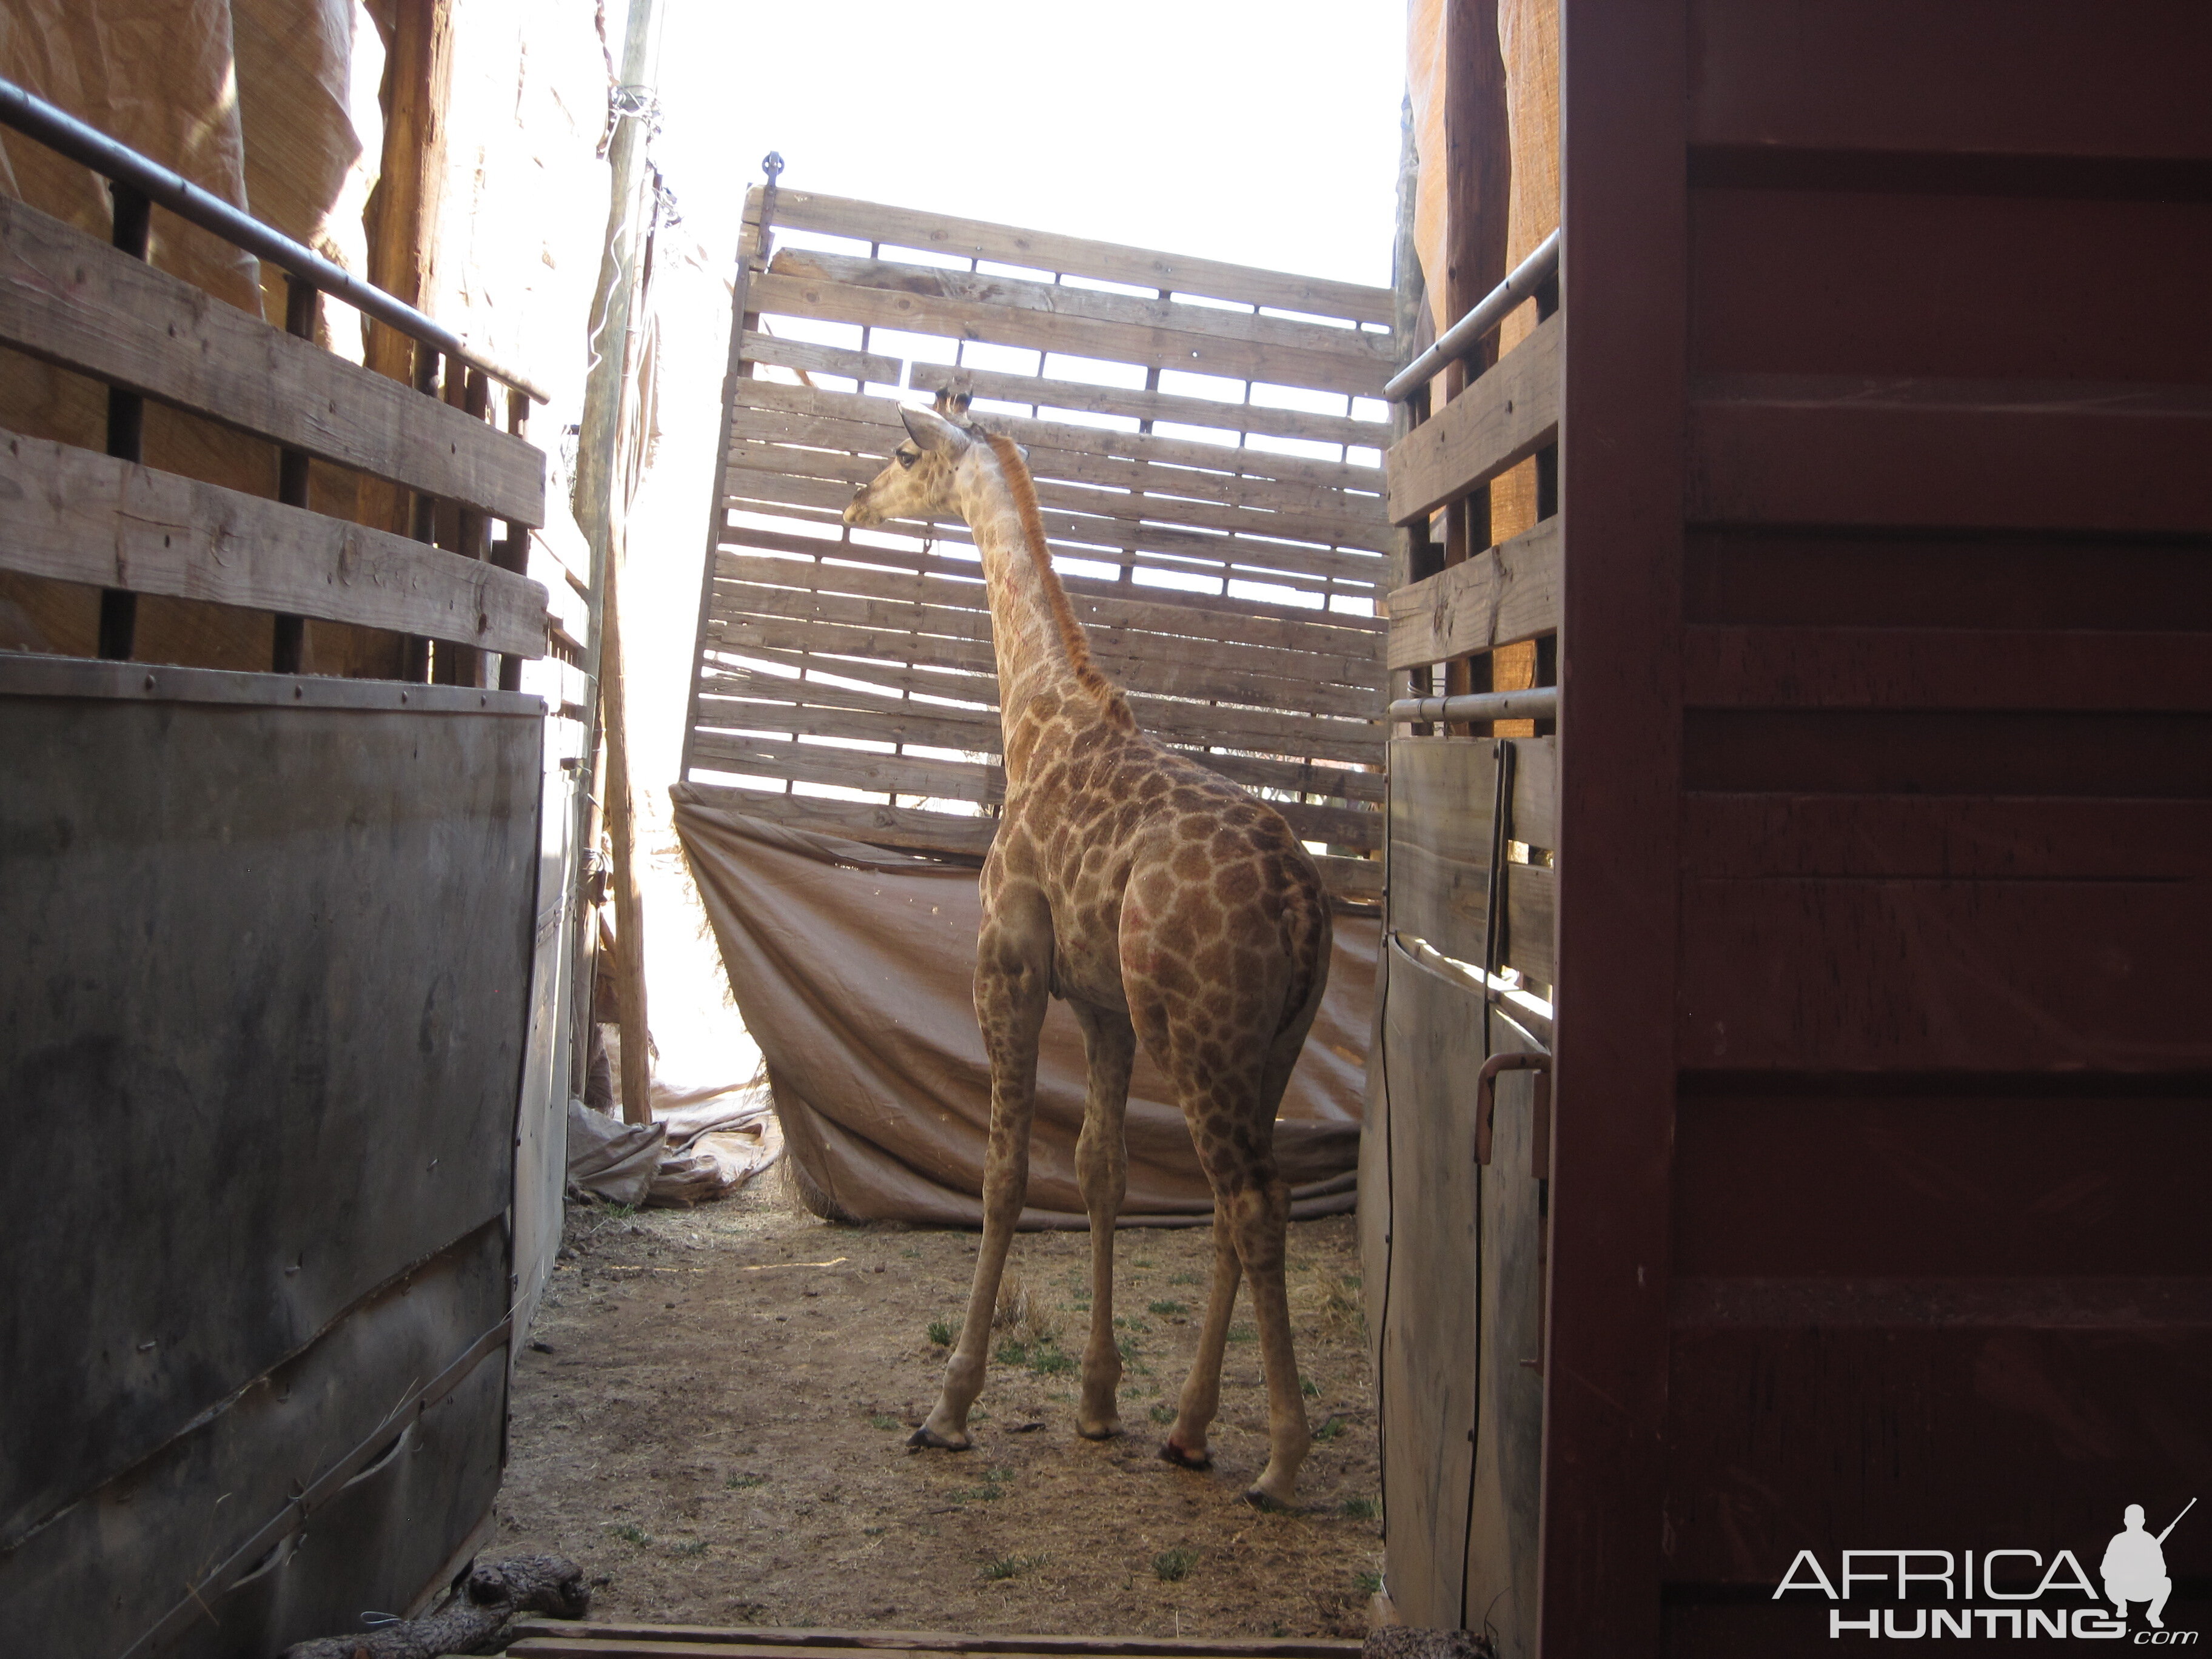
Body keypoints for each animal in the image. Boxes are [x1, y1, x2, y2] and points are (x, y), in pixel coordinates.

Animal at [840, 389, 1327, 1504]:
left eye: (904, 452)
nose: (853, 499)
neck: (1037, 718)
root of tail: (1300, 905)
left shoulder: (1007, 967)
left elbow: (1006, 1175)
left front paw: (949, 1407)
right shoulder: (1104, 1006)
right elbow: (1099, 1170)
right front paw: (1099, 1404)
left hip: (1199, 1035)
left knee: (1251, 1200)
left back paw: (1280, 1461)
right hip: (1269, 1045)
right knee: (1244, 1197)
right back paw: (1187, 1430)